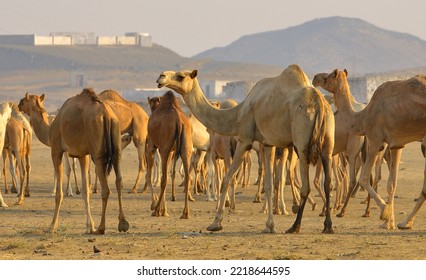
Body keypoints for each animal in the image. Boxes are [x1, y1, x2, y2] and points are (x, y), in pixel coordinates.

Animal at [18, 90, 128, 234]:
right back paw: (123, 223)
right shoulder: (82, 155)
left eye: (23, 100)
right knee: (119, 180)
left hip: (97, 150)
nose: (18, 104)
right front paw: (89, 226)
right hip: (116, 143)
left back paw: (101, 228)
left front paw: (52, 226)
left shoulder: (56, 150)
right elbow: (85, 191)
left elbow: (59, 194)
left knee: (106, 188)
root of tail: (107, 114)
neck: (49, 131)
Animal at [146, 91, 194, 219]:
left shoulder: (152, 146)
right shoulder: (172, 151)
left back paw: (156, 210)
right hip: (186, 147)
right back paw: (185, 213)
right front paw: (164, 210)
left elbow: (149, 175)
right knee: (187, 176)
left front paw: (155, 205)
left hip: (164, 148)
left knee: (164, 178)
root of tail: (179, 121)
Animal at [156, 64, 336, 234]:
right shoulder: (267, 143)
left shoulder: (245, 139)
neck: (238, 114)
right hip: (328, 140)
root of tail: (319, 102)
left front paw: (215, 223)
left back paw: (294, 227)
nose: (161, 77)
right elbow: (269, 184)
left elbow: (227, 179)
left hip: (302, 140)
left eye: (180, 76)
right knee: (327, 181)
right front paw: (269, 226)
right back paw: (327, 226)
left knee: (306, 185)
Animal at [312, 69, 426, 229]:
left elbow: (364, 178)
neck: (362, 116)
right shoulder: (396, 144)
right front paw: (388, 223)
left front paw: (384, 212)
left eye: (329, 75)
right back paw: (405, 222)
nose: (315, 78)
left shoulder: (375, 139)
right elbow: (392, 184)